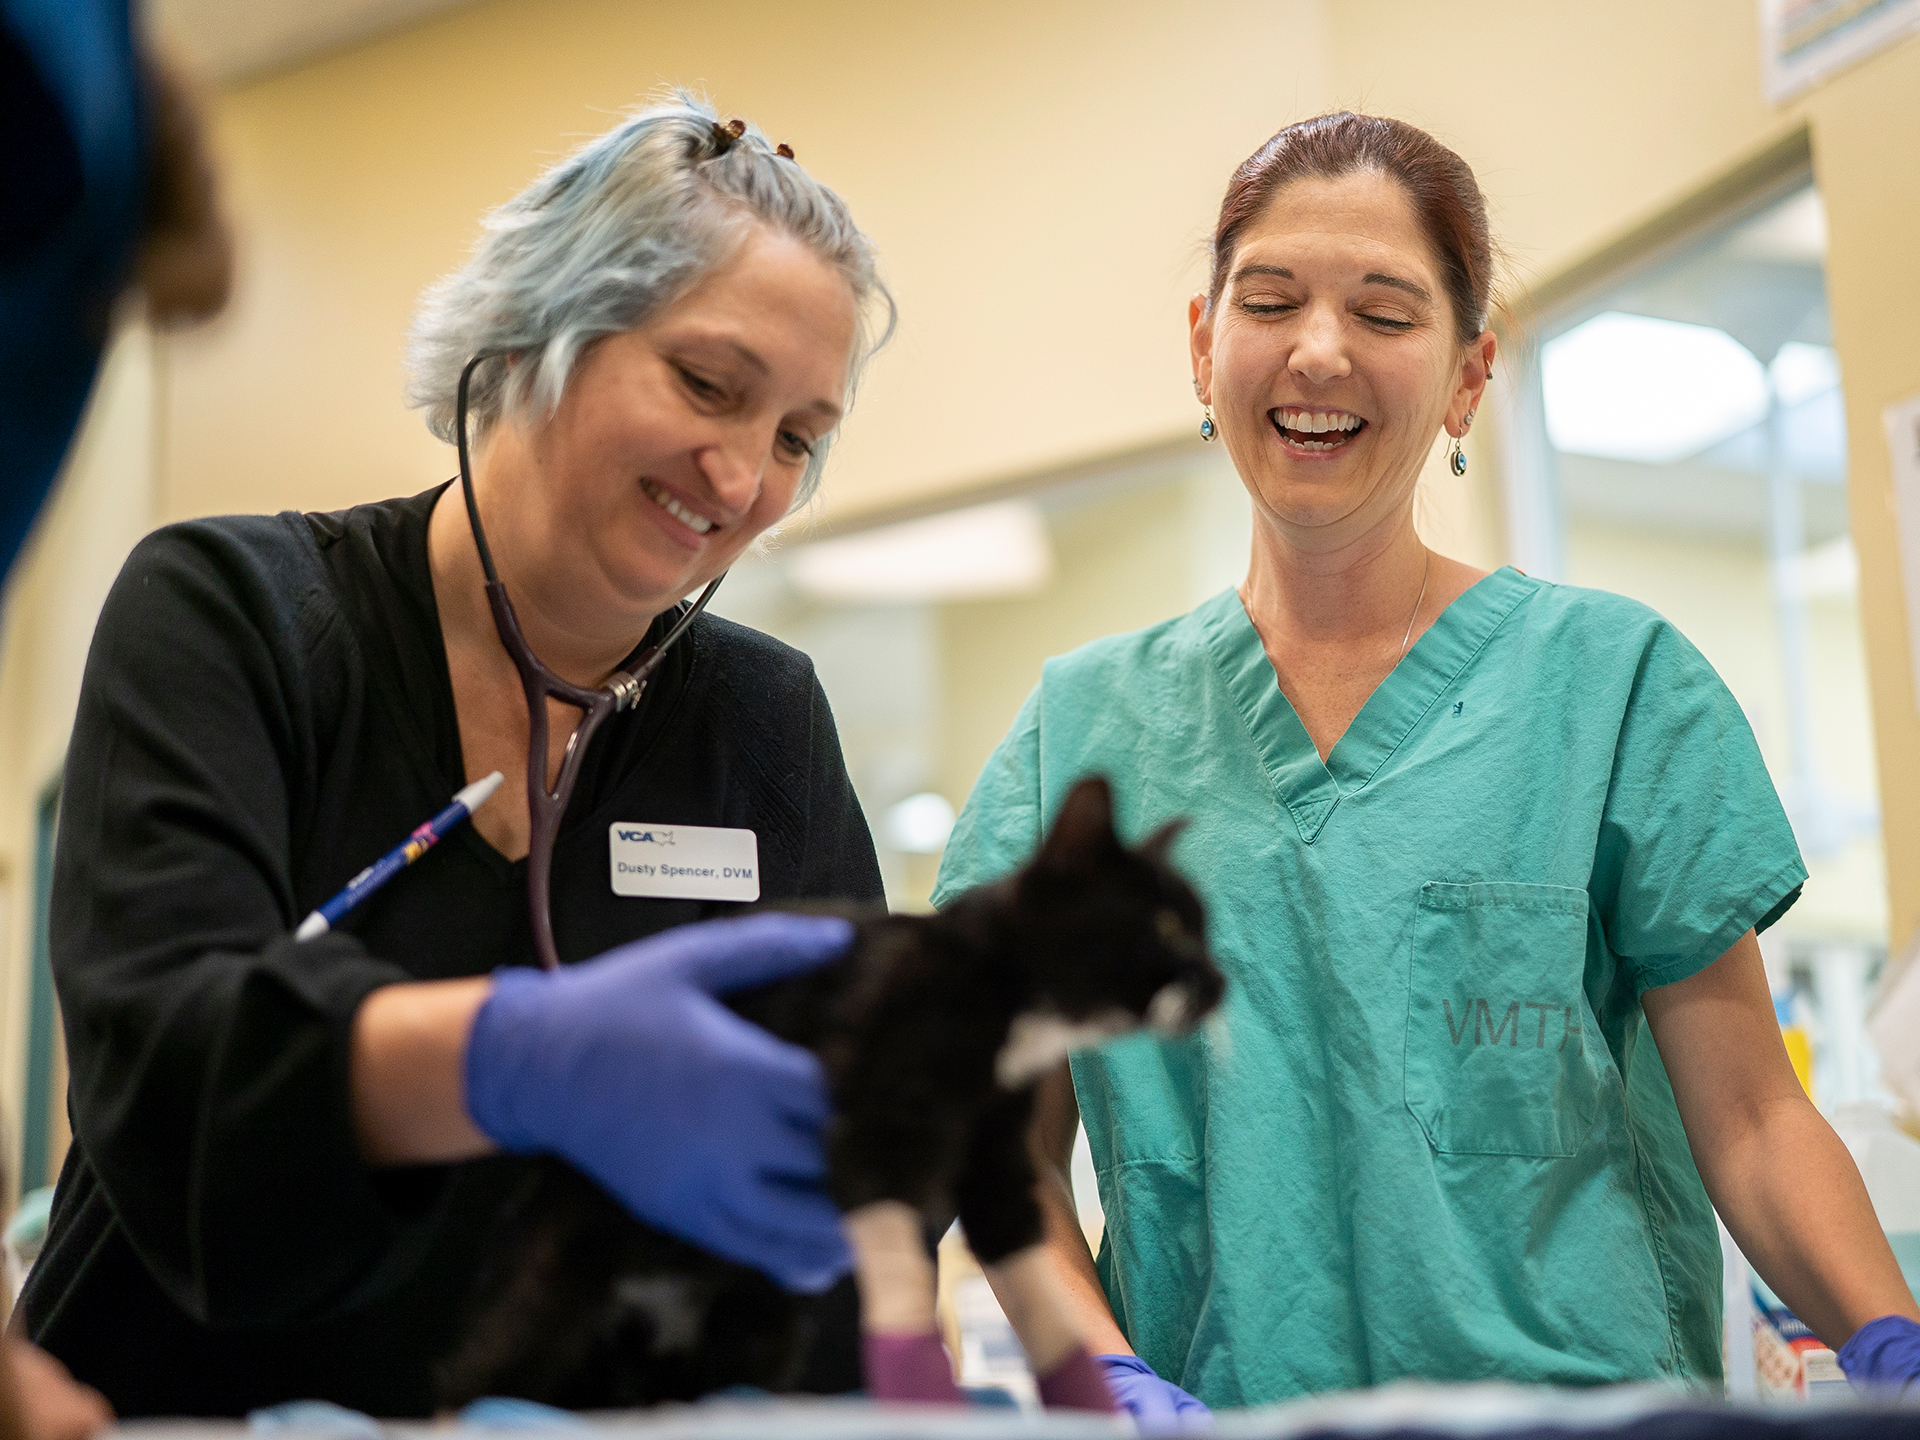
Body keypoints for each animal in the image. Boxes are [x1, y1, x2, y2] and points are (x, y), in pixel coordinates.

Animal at [439, 779, 1221, 1413]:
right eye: (1167, 926)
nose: (1220, 983)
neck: (1006, 1010)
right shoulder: (874, 1137)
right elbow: (900, 1278)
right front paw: (920, 1392)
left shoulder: (999, 1164)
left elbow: (1033, 1278)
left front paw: (1098, 1400)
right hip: (549, 1296)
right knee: (472, 1381)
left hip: (756, 1325)